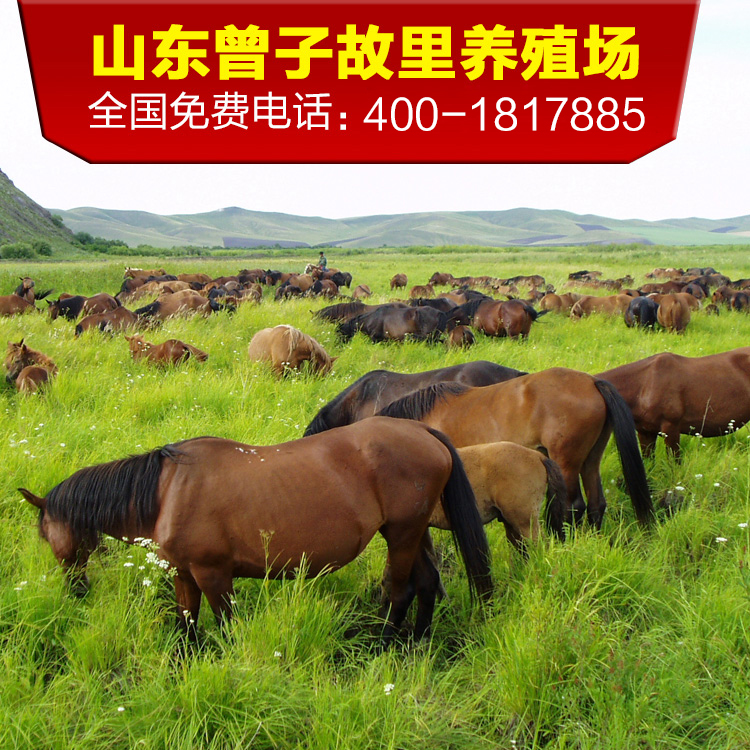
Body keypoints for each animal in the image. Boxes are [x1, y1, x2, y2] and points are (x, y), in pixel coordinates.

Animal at [20, 418, 492, 642]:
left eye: (48, 537)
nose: (76, 591)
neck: (167, 491)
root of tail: (422, 430)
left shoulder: (213, 574)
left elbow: (226, 625)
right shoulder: (184, 574)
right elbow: (187, 625)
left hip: (402, 533)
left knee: (398, 590)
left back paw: (385, 643)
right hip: (410, 532)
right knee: (426, 583)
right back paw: (419, 640)